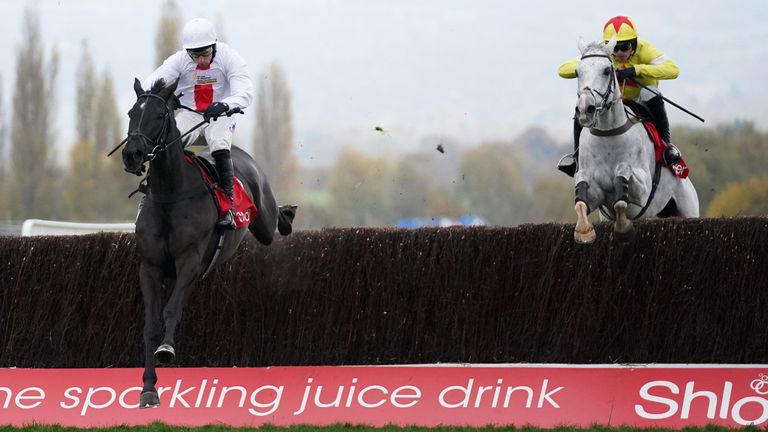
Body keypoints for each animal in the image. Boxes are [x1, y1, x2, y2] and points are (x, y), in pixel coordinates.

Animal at [121, 78, 296, 408]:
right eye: (131, 113)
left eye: (159, 115)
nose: (132, 154)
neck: (171, 193)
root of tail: (242, 154)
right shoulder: (149, 267)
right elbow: (150, 325)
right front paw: (148, 388)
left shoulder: (190, 262)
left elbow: (171, 310)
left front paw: (166, 350)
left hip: (263, 221)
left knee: (273, 222)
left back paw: (288, 213)